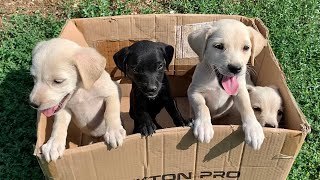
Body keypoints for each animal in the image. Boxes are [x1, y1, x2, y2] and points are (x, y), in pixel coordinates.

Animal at [188, 19, 268, 150]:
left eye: (246, 48)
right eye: (218, 46)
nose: (235, 68)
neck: (216, 82)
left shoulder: (240, 91)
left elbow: (247, 107)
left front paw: (254, 129)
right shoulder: (193, 91)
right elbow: (202, 106)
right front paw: (204, 126)